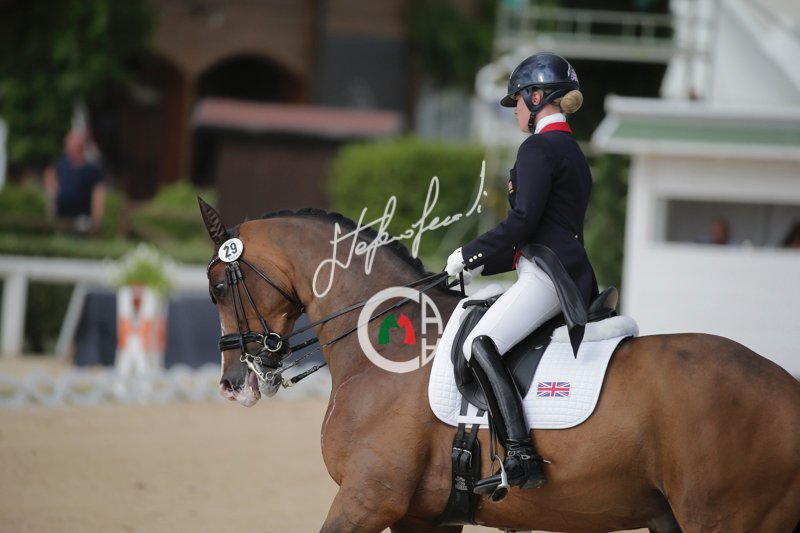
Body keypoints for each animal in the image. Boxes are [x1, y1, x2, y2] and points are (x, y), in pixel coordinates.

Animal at [198, 199, 800, 533]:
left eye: (219, 286)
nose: (232, 383)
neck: (388, 351)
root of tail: (786, 389)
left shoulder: (367, 498)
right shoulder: (420, 517)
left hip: (726, 518)